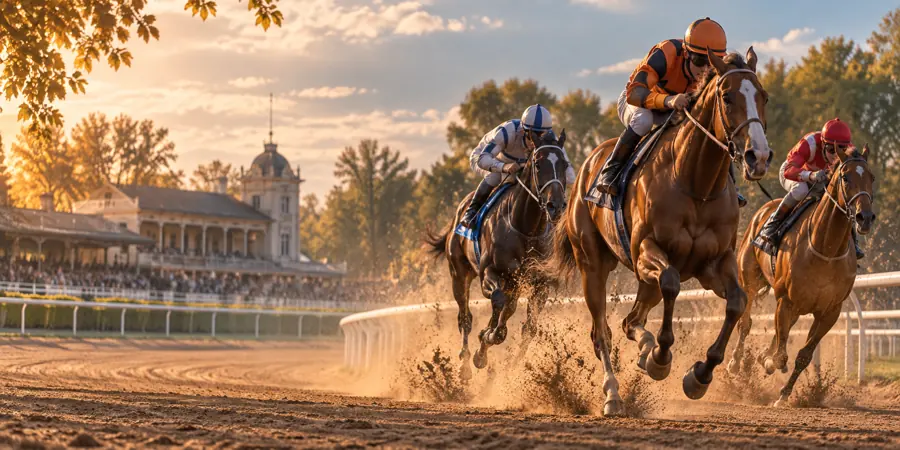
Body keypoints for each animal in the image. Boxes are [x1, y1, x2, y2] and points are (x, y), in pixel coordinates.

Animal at [425, 131, 570, 378]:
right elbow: (497, 302)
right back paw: (465, 364)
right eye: (538, 164)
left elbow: (528, 327)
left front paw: (504, 360)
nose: (556, 206)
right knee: (466, 317)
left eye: (564, 164)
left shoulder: (540, 284)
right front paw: (484, 345)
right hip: (459, 274)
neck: (526, 228)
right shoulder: (490, 273)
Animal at [546, 47, 773, 416]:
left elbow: (737, 303)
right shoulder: (647, 251)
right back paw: (614, 393)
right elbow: (671, 282)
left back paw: (642, 346)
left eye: (763, 96)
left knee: (630, 321)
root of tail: (587, 163)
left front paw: (699, 374)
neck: (695, 183)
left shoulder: (714, 264)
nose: (759, 156)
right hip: (593, 264)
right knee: (602, 331)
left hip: (641, 279)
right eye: (727, 97)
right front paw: (660, 358)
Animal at [729, 145, 876, 406]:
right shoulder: (786, 300)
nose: (865, 218)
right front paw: (770, 362)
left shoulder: (830, 312)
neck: (825, 249)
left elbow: (804, 355)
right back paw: (736, 363)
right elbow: (781, 353)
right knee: (745, 323)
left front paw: (784, 393)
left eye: (872, 177)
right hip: (750, 279)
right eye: (846, 177)